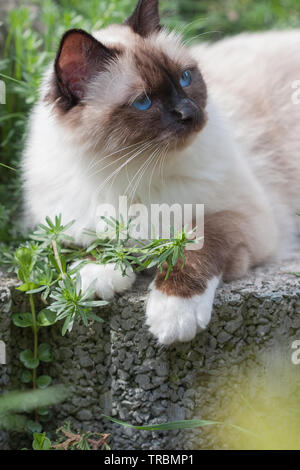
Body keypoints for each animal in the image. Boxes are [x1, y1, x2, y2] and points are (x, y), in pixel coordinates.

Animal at [21, 0, 300, 346]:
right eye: (143, 102)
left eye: (185, 78)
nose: (191, 113)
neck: (133, 172)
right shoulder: (60, 224)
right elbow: (93, 238)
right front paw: (96, 275)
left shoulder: (242, 218)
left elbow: (195, 243)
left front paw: (174, 313)